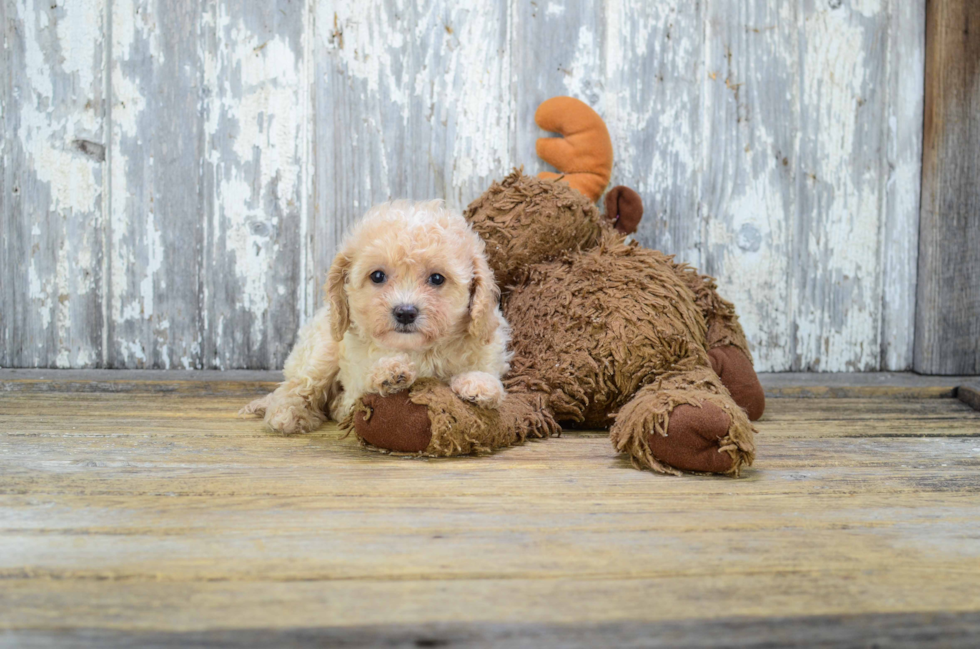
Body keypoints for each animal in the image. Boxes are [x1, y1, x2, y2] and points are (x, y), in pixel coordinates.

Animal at [240, 200, 510, 436]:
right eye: (378, 276)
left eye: (437, 278)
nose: (405, 312)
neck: (418, 350)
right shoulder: (354, 377)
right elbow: (362, 385)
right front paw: (391, 372)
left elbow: (484, 372)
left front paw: (479, 384)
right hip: (322, 350)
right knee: (297, 386)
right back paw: (287, 414)